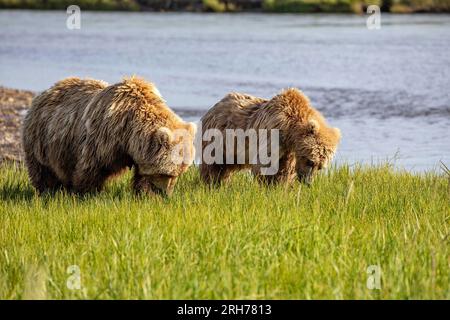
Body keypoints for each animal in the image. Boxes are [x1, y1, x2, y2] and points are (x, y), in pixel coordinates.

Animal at [22, 76, 195, 196]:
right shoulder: (102, 139)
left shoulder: (139, 152)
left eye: (179, 173)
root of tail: (43, 94)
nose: (166, 193)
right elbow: (90, 167)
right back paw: (48, 191)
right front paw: (88, 193)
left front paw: (146, 194)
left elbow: (143, 175)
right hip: (42, 139)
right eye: (167, 173)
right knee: (43, 170)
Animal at [200, 89, 342, 186]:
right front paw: (268, 186)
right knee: (213, 165)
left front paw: (281, 187)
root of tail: (215, 106)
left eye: (320, 167)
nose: (308, 182)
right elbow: (265, 163)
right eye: (310, 161)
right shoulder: (273, 134)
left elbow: (286, 169)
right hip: (219, 139)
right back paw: (211, 183)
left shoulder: (289, 150)